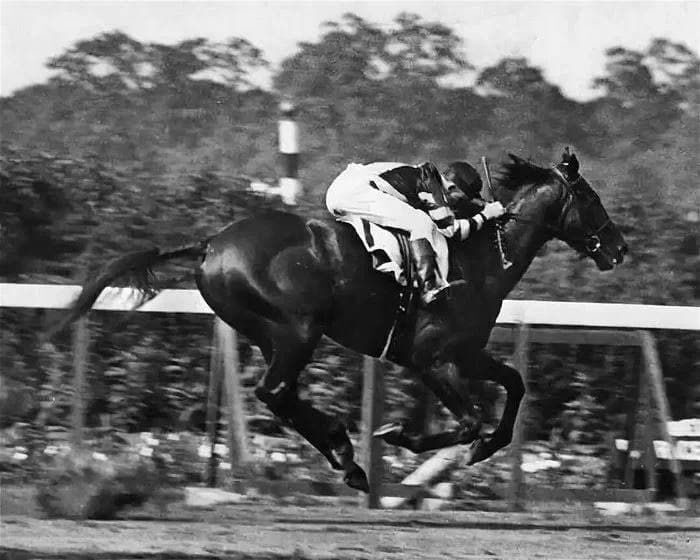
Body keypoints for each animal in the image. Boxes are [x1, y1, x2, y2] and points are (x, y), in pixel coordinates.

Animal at [58, 149, 628, 490]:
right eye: (592, 197)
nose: (619, 248)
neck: (482, 257)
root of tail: (212, 244)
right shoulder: (433, 359)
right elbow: (468, 419)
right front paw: (399, 436)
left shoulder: (465, 354)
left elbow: (515, 385)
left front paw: (486, 446)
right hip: (297, 330)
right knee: (273, 391)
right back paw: (346, 454)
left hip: (271, 332)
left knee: (279, 393)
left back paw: (343, 453)